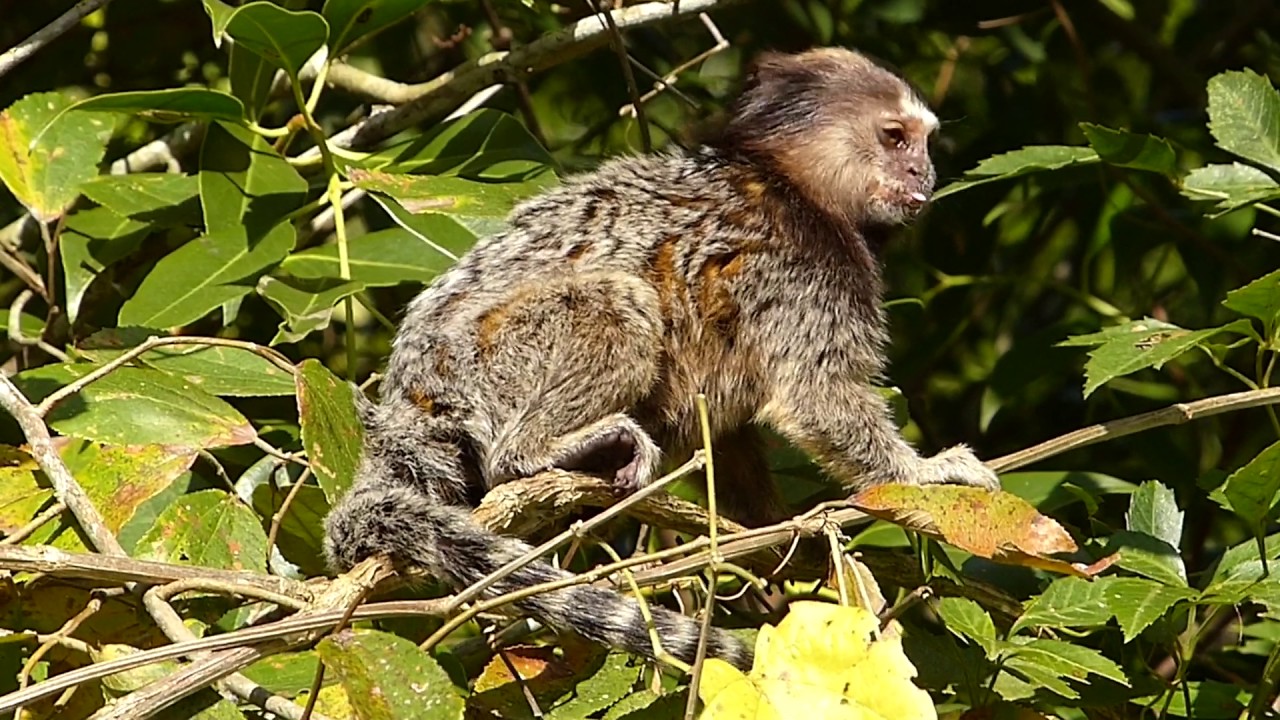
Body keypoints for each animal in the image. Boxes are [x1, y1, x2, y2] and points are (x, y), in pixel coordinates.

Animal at [320, 47, 998, 671]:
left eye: (924, 143)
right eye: (894, 137)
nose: (923, 172)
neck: (796, 186)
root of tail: (406, 401)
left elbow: (724, 433)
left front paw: (773, 533)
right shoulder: (803, 269)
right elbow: (816, 395)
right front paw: (926, 473)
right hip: (489, 358)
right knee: (618, 305)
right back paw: (541, 451)